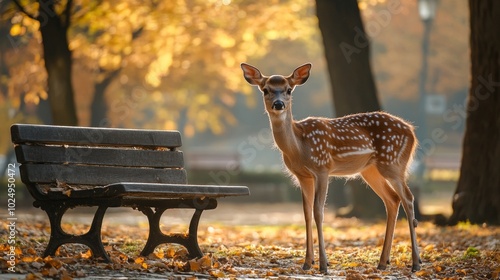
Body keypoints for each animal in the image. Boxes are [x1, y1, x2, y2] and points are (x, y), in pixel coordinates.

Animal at [240, 63, 420, 274]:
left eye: (289, 90)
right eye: (265, 90)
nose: (278, 104)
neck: (299, 147)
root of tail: (412, 131)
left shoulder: (322, 168)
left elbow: (318, 211)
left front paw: (323, 265)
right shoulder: (303, 176)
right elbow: (306, 213)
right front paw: (307, 262)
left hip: (393, 163)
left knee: (408, 198)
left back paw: (416, 263)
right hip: (370, 170)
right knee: (392, 200)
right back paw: (383, 262)